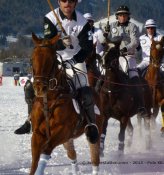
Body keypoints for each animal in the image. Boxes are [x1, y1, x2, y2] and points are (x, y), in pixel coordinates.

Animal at [29, 33, 104, 175]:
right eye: (32, 59)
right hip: (68, 141)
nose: (39, 88)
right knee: (72, 154)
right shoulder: (37, 135)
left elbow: (46, 151)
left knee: (95, 157)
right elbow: (34, 162)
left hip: (94, 130)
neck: (50, 99)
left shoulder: (63, 132)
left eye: (51, 60)